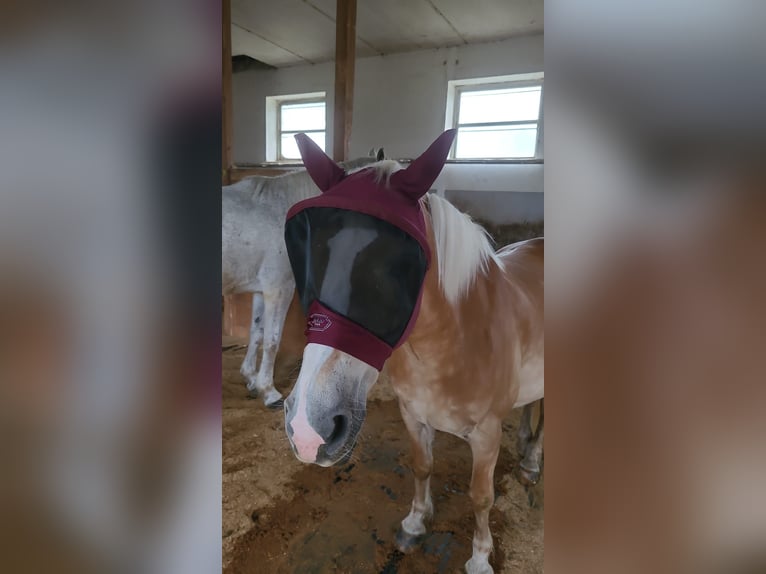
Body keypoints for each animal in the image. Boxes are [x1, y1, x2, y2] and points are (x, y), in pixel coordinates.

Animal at [222, 151, 384, 408]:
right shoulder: (279, 289)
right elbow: (272, 340)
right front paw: (269, 392)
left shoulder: (261, 289)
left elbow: (256, 332)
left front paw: (251, 379)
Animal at [284, 132, 544, 574]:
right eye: (312, 255)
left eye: (396, 267)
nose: (307, 428)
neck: (450, 346)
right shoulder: (413, 415)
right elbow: (422, 467)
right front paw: (415, 523)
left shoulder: (487, 434)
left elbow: (481, 497)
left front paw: (479, 558)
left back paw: (531, 461)